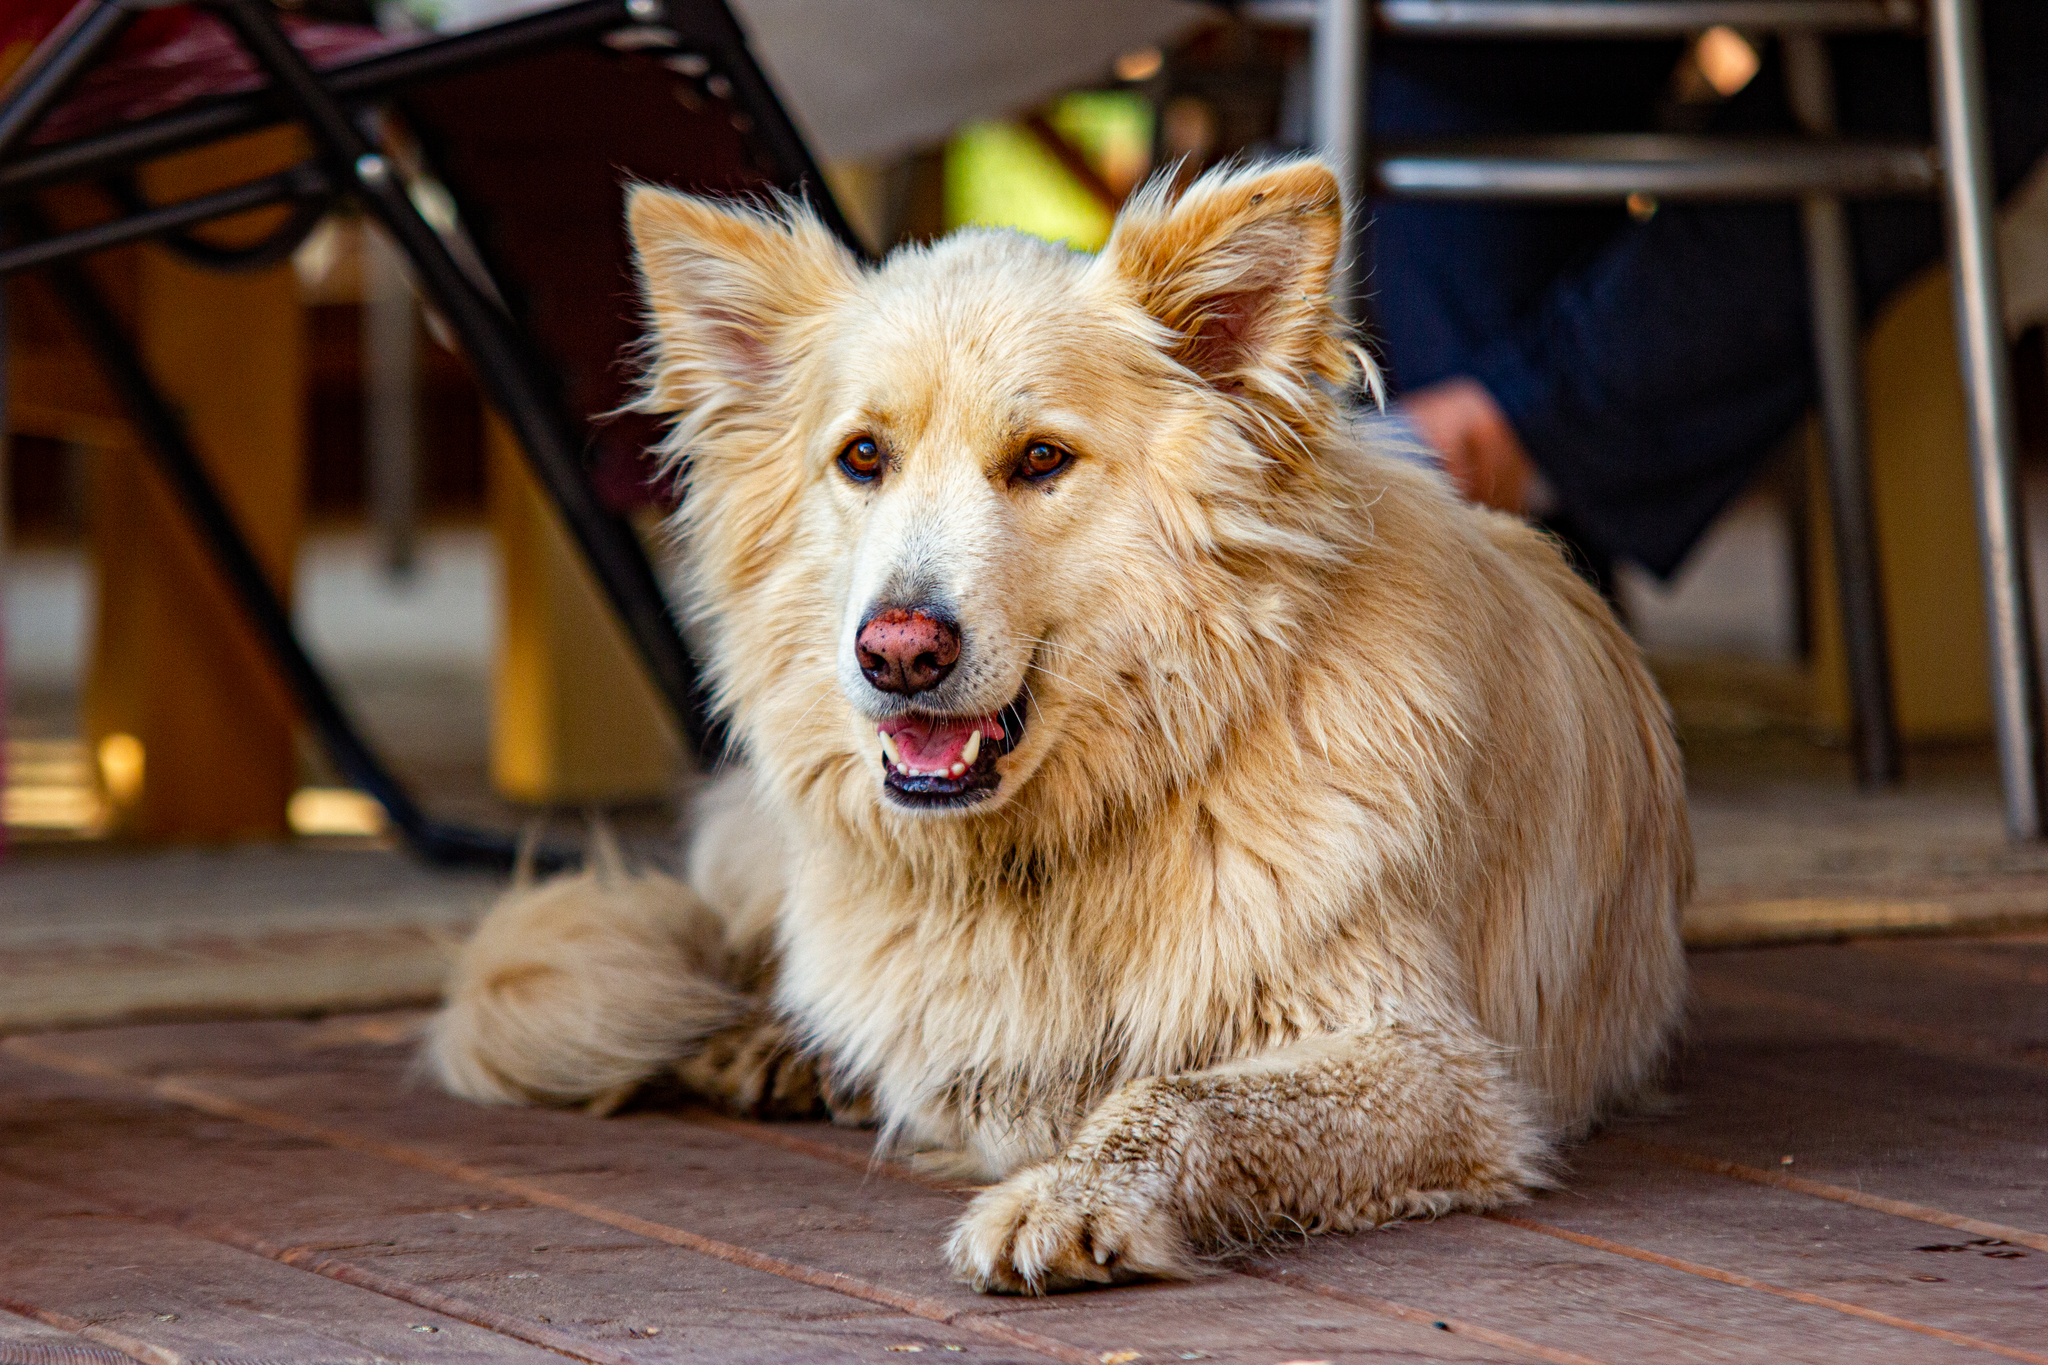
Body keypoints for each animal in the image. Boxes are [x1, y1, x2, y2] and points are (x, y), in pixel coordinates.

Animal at [423, 157, 1687, 1293]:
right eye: (861, 457)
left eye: (1040, 460)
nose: (897, 650)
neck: (1079, 832)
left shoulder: (1432, 1065)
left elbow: (1173, 1092)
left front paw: (1072, 1197)